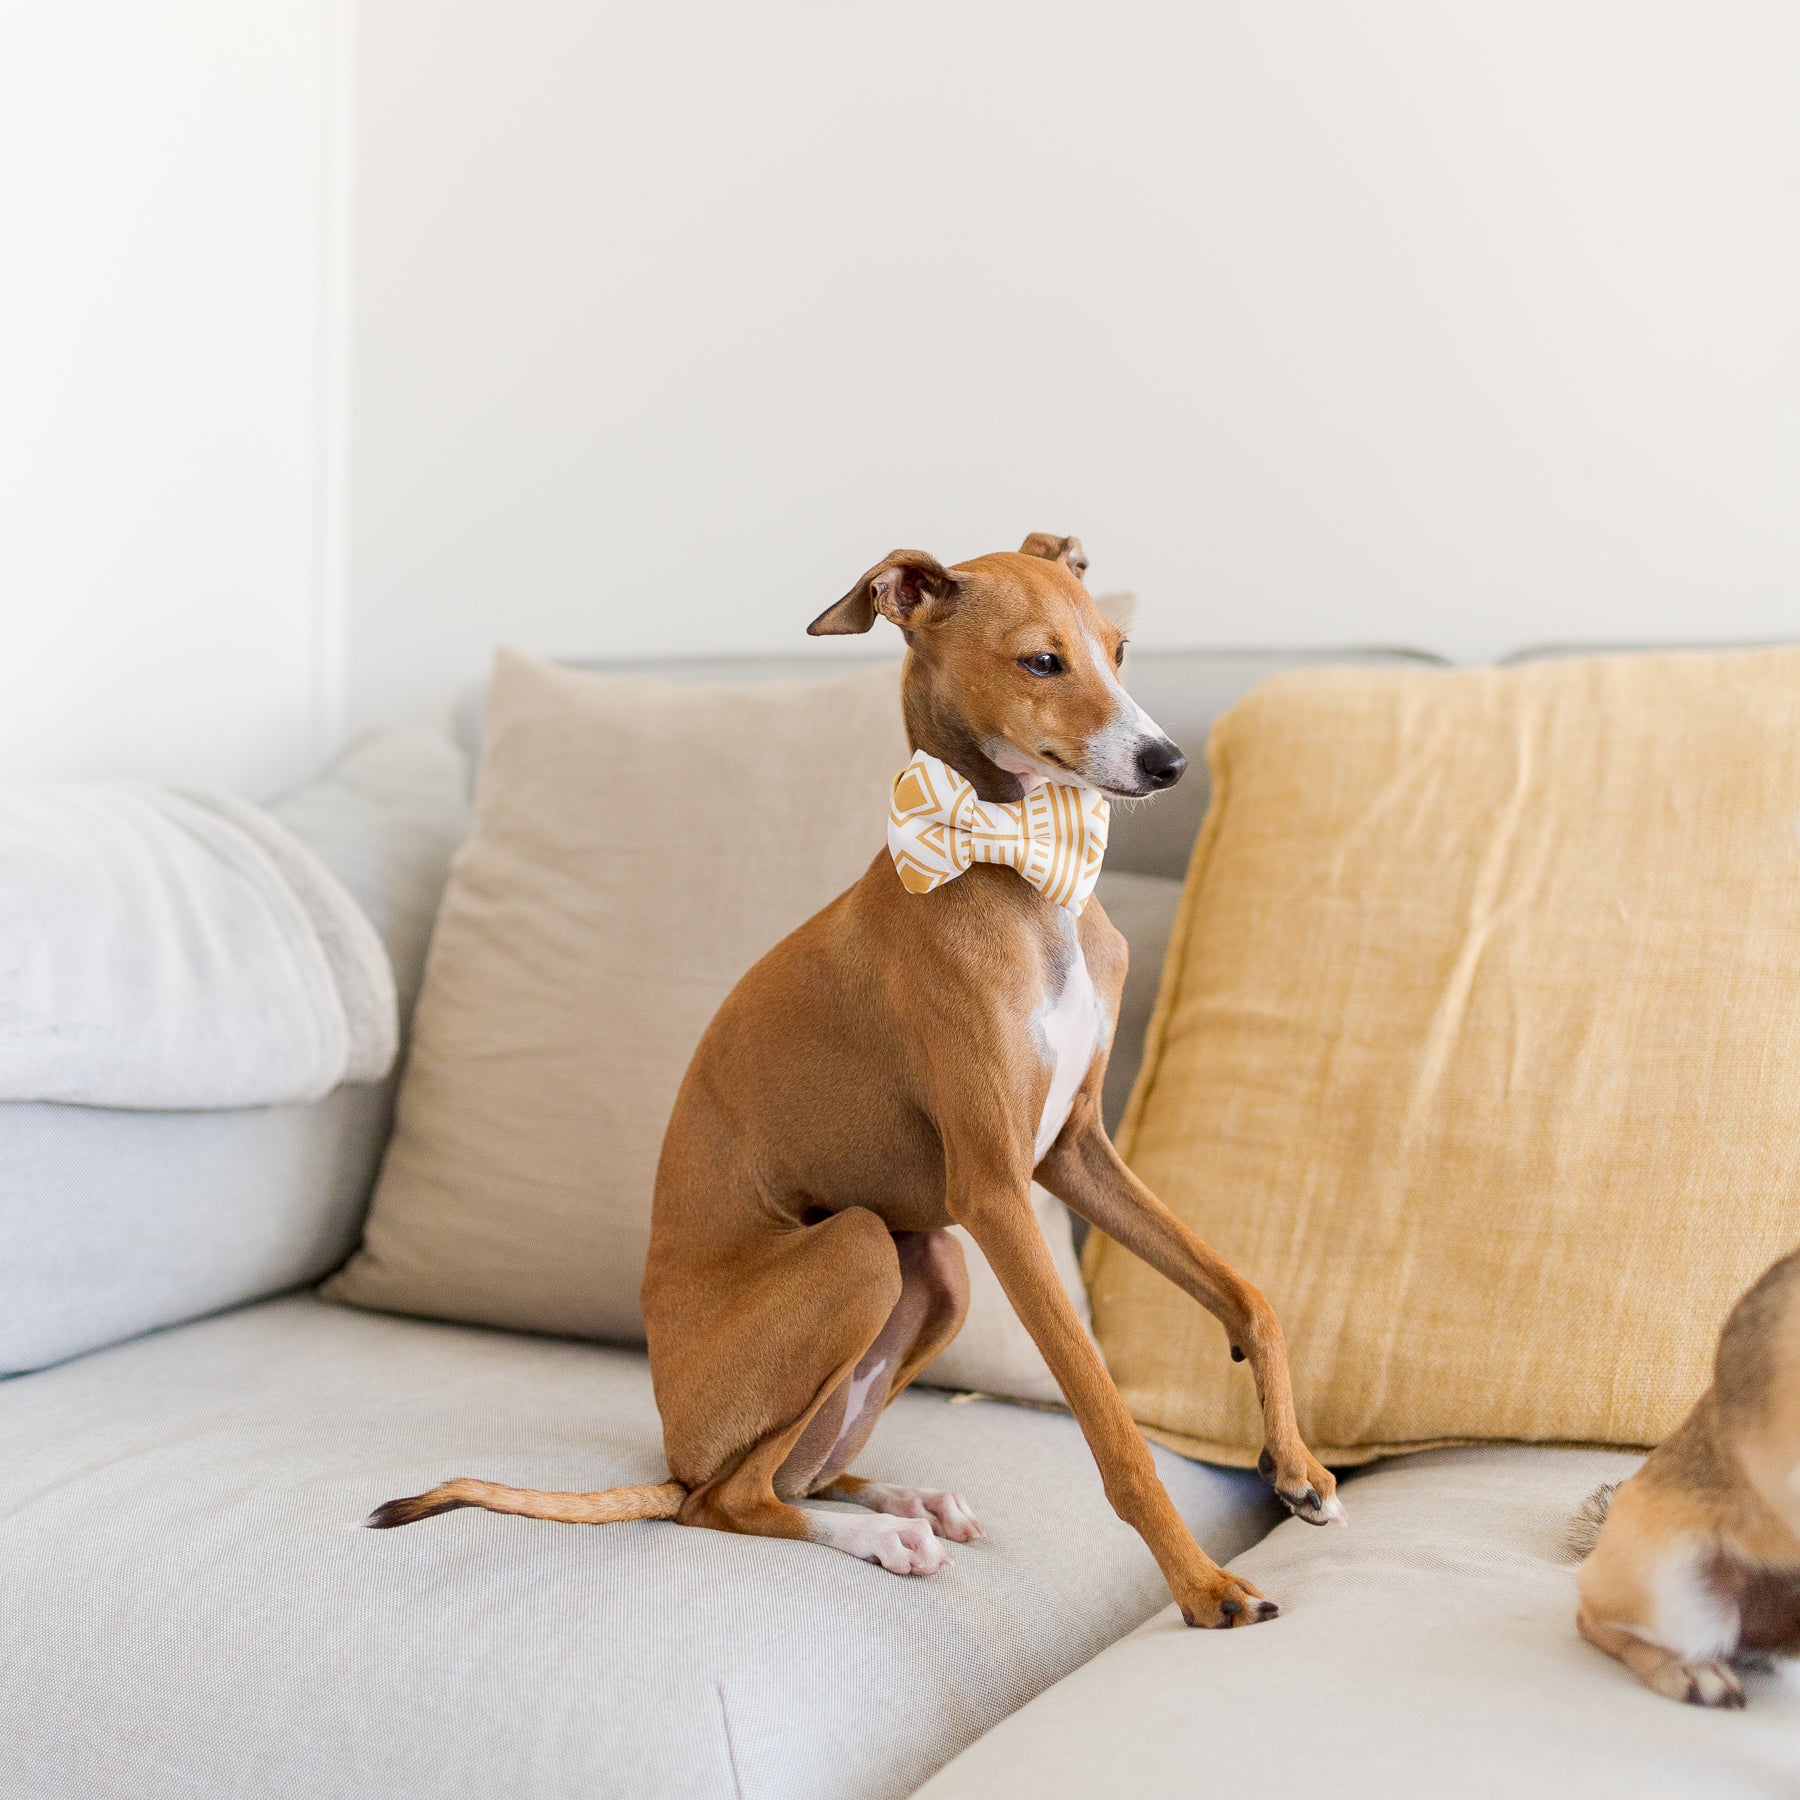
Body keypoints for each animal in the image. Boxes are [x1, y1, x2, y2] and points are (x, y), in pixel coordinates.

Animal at [372, 532, 1346, 1634]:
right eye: (1041, 661)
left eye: (1119, 648)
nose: (1169, 763)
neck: (1017, 868)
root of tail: (670, 1447)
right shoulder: (996, 1192)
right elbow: (1109, 1422)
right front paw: (1203, 1585)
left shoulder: (1074, 1154)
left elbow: (1248, 1294)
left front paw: (1297, 1469)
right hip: (861, 1253)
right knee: (729, 1499)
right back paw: (878, 1536)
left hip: (937, 1267)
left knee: (797, 1470)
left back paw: (906, 1504)